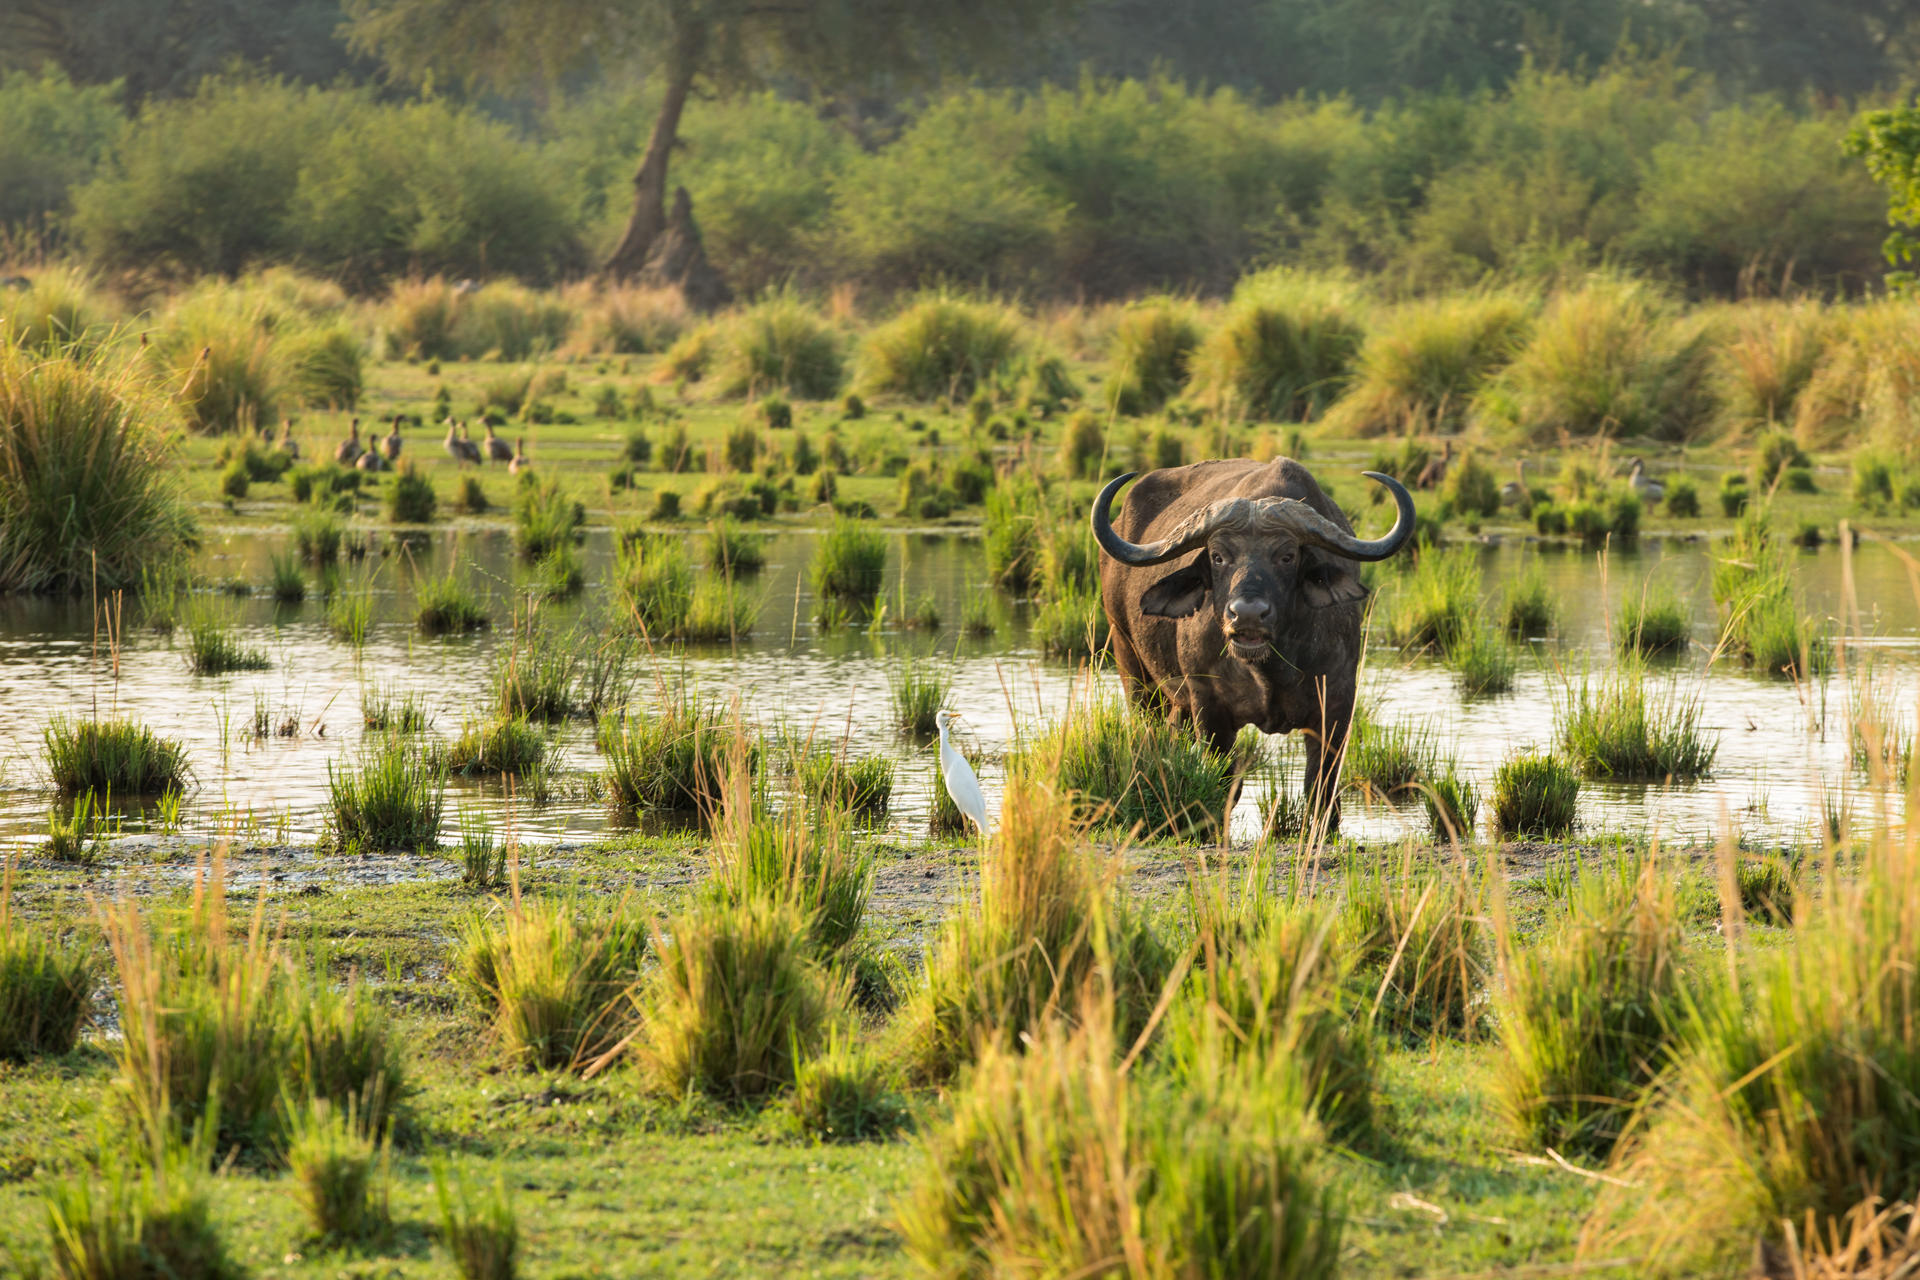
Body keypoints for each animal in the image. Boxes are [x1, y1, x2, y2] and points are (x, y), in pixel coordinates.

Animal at [1089, 459, 1417, 826]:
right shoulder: (1209, 705)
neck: (1269, 669)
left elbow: (1321, 789)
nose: (1246, 615)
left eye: (1287, 556)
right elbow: (1224, 785)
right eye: (1218, 556)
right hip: (1130, 662)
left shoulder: (1336, 703)